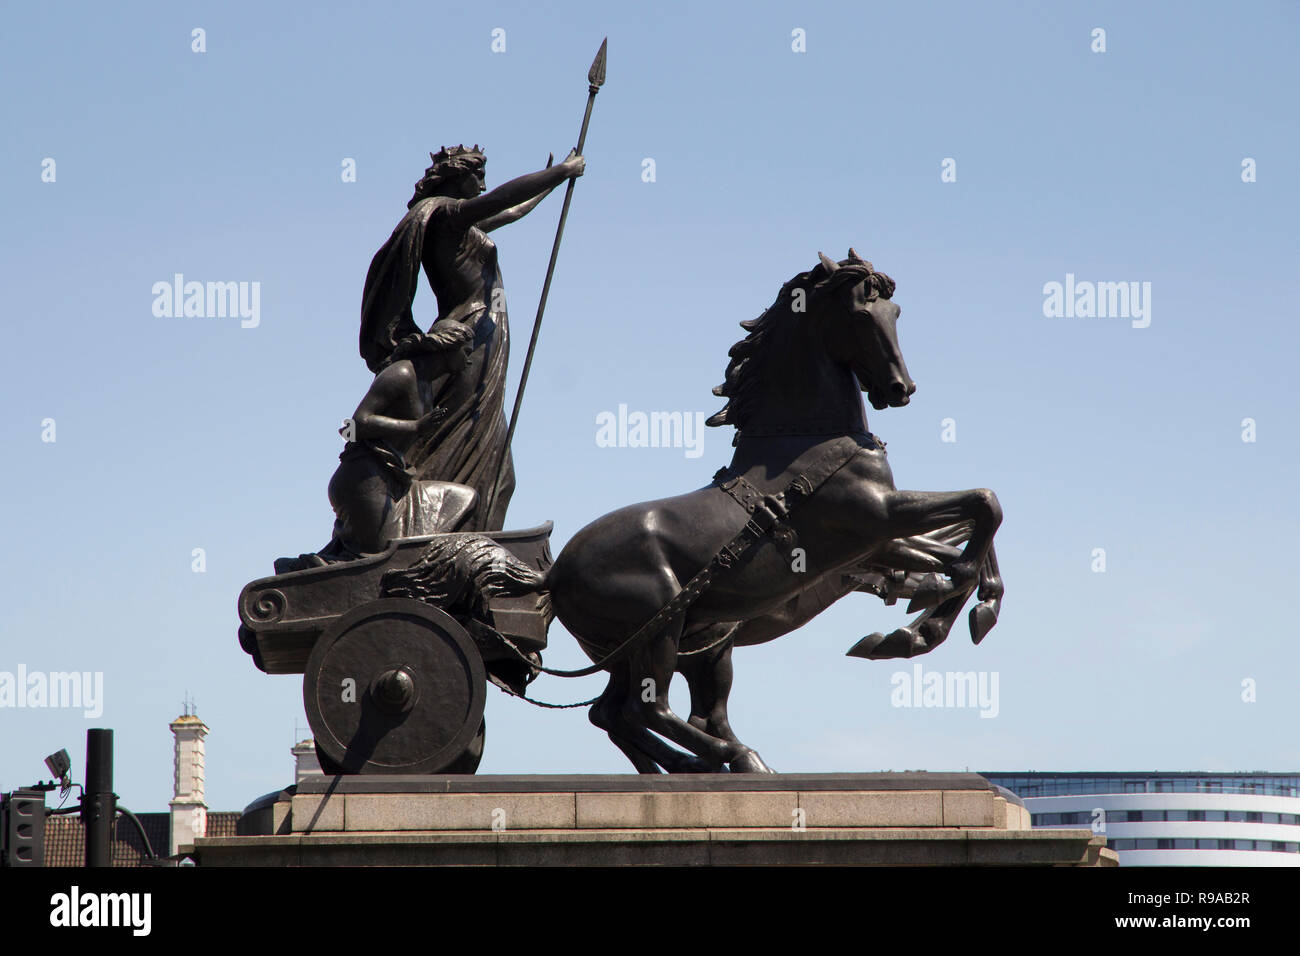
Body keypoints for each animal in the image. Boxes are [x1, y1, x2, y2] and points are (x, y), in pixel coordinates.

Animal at [395, 251, 1003, 775]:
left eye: (894, 313)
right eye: (860, 313)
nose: (901, 388)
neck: (806, 441)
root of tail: (554, 571)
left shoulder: (873, 542)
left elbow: (966, 536)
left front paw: (934, 615)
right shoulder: (877, 516)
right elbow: (983, 506)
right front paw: (938, 614)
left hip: (631, 646)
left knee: (615, 713)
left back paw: (690, 768)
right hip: (660, 625)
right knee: (648, 709)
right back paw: (734, 758)